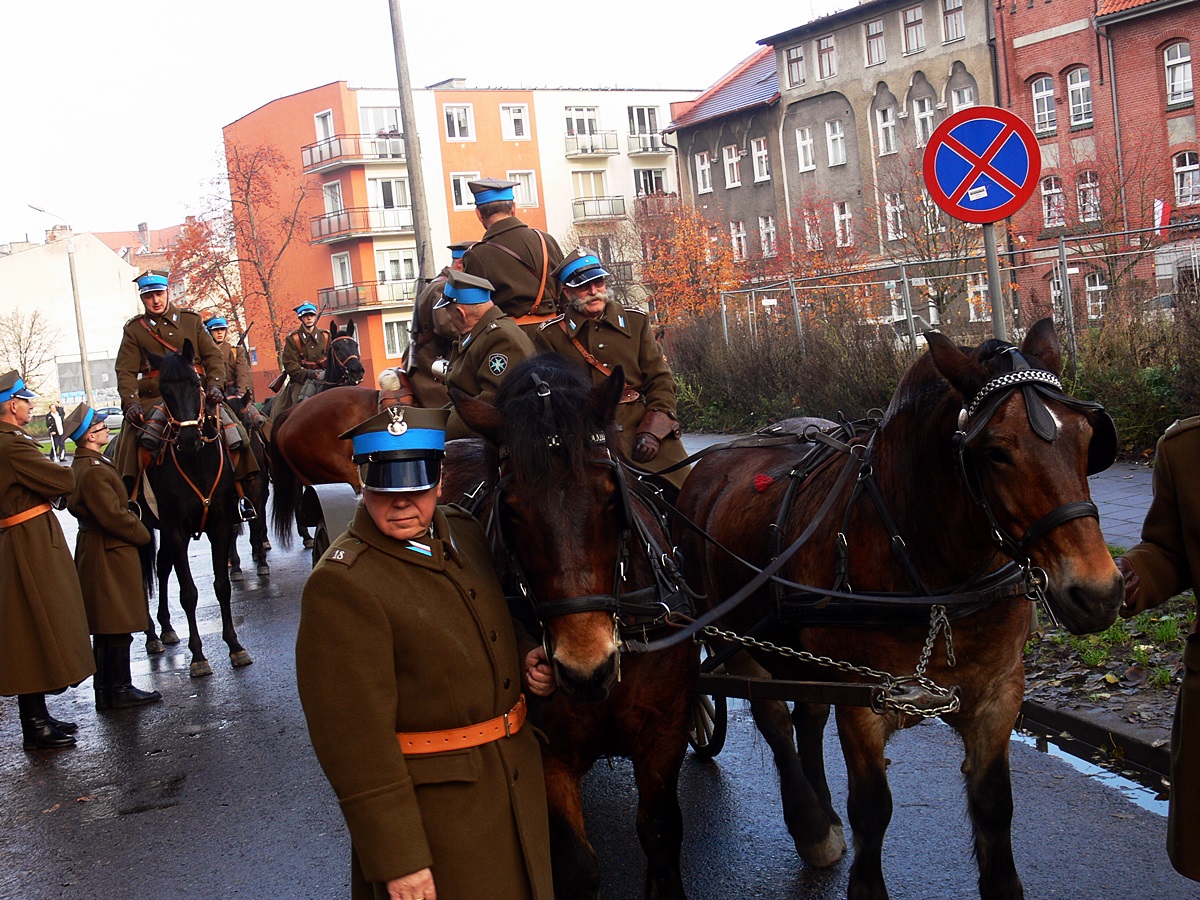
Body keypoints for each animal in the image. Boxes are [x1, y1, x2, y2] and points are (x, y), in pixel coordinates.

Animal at [137, 341, 254, 678]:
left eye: (196, 384)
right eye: (163, 390)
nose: (188, 437)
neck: (196, 462)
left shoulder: (220, 526)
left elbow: (222, 586)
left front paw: (235, 646)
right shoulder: (176, 530)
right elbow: (189, 593)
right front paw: (199, 655)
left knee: (162, 567)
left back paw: (166, 627)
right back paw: (152, 635)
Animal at [453, 354, 699, 900]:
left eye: (611, 497)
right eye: (511, 510)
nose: (586, 668)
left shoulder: (666, 731)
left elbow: (661, 832)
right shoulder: (545, 750)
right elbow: (577, 866)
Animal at [672, 319, 1124, 899]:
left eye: (1087, 438)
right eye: (997, 451)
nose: (1099, 591)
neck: (935, 582)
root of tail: (711, 463)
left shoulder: (998, 694)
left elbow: (995, 808)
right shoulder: (864, 702)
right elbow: (872, 811)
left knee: (806, 717)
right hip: (734, 636)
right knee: (773, 719)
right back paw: (810, 824)